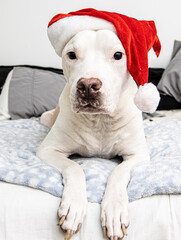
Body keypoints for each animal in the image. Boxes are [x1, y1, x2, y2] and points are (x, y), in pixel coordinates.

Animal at [36, 29, 150, 240]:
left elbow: (119, 171)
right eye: (72, 54)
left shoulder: (138, 155)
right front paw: (73, 207)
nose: (88, 85)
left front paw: (114, 212)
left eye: (118, 55)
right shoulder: (48, 150)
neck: (99, 121)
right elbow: (74, 167)